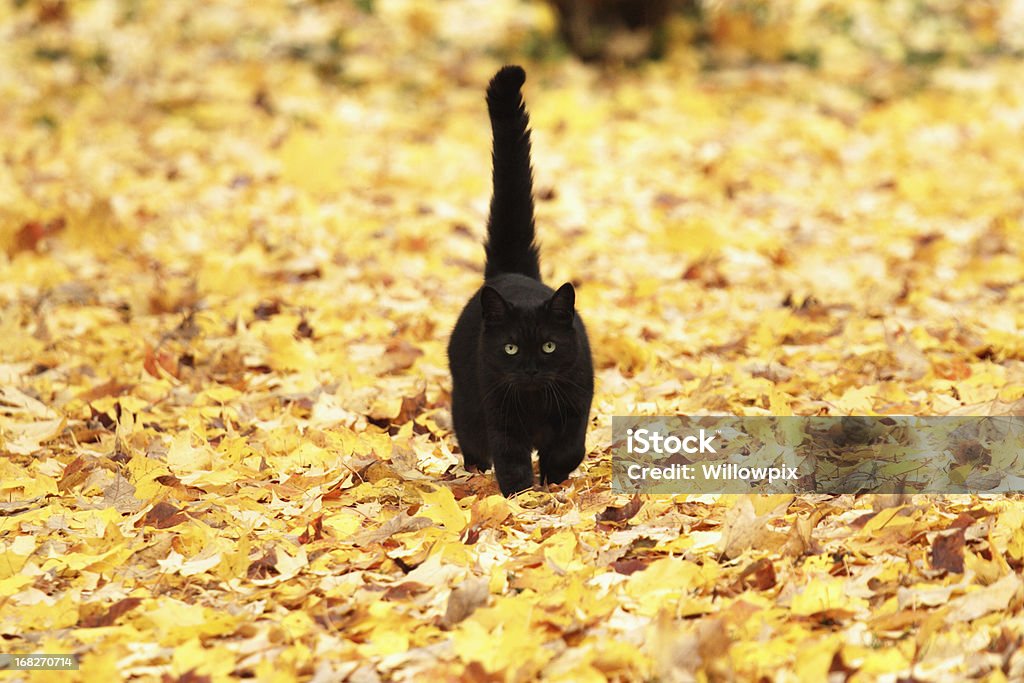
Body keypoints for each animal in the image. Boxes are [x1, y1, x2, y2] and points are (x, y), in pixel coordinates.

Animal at [446, 66, 598, 497]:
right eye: (511, 348)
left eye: (548, 345)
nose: (530, 370)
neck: (534, 403)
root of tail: (511, 273)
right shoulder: (499, 412)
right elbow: (511, 459)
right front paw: (519, 497)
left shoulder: (576, 403)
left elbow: (570, 448)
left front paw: (553, 479)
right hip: (467, 403)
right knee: (473, 441)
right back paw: (474, 470)